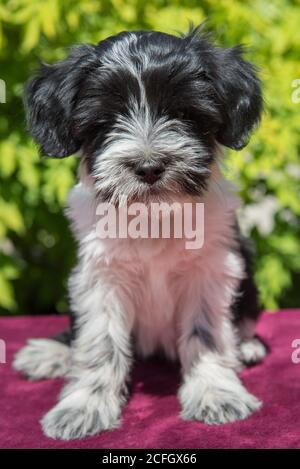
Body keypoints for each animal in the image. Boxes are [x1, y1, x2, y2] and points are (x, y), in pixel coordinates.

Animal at [14, 26, 268, 438]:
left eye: (183, 114)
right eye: (107, 119)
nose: (149, 167)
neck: (153, 214)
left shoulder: (211, 269)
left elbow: (206, 334)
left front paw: (214, 392)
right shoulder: (100, 275)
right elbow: (98, 342)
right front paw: (84, 406)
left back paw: (248, 346)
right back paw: (52, 352)